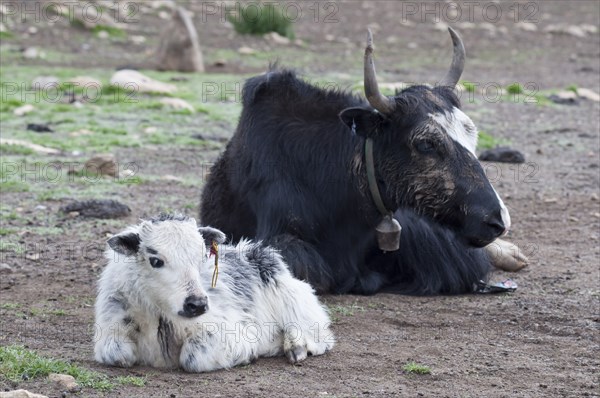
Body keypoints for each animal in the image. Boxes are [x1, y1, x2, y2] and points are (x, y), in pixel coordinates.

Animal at [94, 215, 332, 374]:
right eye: (156, 261)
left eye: (202, 257)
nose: (197, 304)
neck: (160, 315)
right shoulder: (110, 329)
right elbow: (117, 354)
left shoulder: (227, 328)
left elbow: (193, 358)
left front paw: (249, 353)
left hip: (290, 292)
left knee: (316, 330)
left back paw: (295, 347)